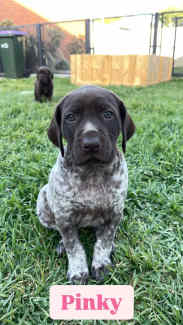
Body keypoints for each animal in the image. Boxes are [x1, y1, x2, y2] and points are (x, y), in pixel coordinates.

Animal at [36, 85, 136, 282]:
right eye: (70, 117)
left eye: (108, 114)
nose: (91, 144)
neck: (92, 171)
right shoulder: (65, 216)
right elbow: (73, 246)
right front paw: (78, 270)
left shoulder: (114, 213)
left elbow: (104, 241)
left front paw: (101, 263)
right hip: (43, 202)